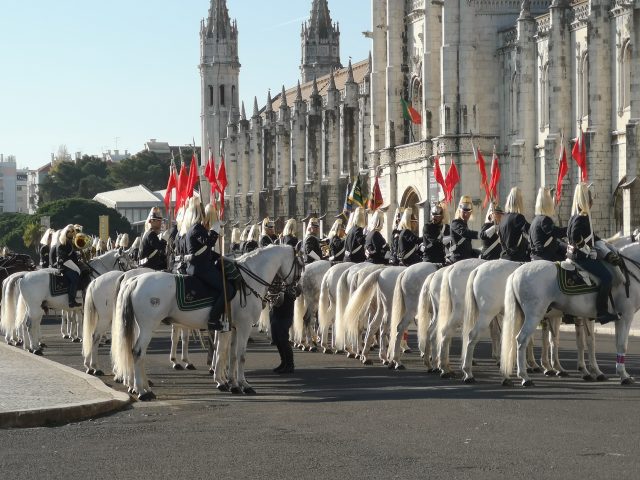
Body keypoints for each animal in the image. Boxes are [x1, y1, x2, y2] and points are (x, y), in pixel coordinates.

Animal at [1, 249, 133, 354]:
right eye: (122, 262)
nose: (129, 272)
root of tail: (23, 276)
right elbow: (83, 322)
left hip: (32, 308)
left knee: (26, 324)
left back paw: (29, 346)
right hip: (35, 309)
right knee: (30, 325)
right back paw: (34, 348)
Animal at [111, 246, 302, 400]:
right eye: (300, 264)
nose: (298, 290)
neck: (246, 280)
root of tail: (134, 280)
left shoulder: (232, 328)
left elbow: (230, 355)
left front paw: (232, 384)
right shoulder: (244, 326)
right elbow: (239, 355)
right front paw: (244, 385)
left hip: (140, 326)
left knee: (135, 352)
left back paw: (141, 386)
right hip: (148, 326)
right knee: (137, 352)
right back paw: (143, 392)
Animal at [502, 244, 640, 386]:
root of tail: (516, 272)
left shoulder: (611, 318)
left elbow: (601, 342)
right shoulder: (626, 315)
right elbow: (622, 345)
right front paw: (624, 376)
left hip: (524, 316)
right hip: (534, 315)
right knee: (522, 339)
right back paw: (525, 377)